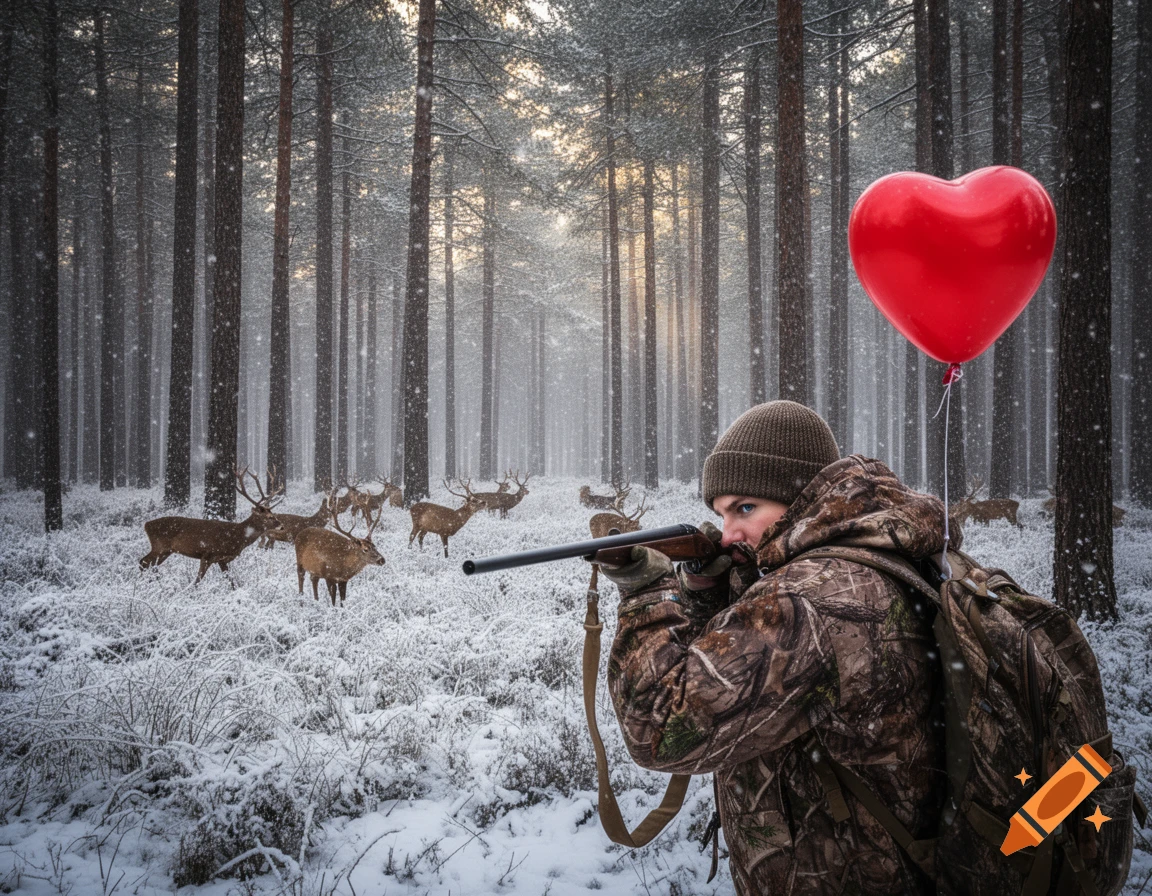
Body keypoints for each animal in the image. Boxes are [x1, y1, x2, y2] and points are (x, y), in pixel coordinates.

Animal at [139, 467, 285, 583]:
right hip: (159, 546)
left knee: (149, 564)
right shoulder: (207, 555)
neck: (236, 537)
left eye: (273, 514)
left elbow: (232, 582)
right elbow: (197, 581)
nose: (282, 526)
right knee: (143, 562)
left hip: (166, 550)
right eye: (269, 517)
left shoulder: (222, 560)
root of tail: (146, 524)